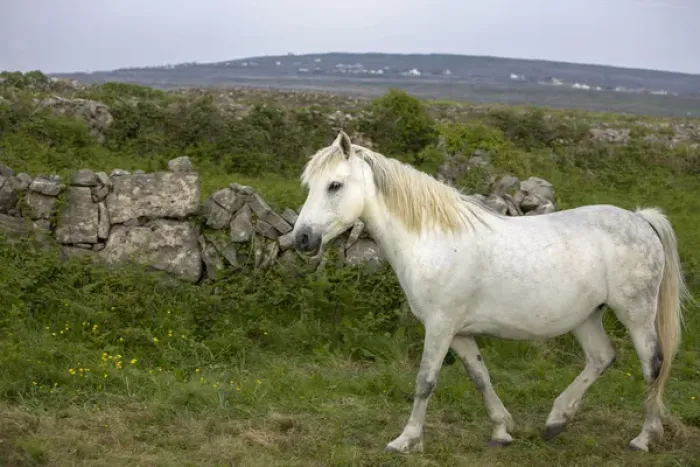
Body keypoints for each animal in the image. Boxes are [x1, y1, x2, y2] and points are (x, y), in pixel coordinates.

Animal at [290, 130, 690, 454]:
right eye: (311, 185)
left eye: (335, 185)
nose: (302, 239)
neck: (433, 240)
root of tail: (640, 218)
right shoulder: (460, 333)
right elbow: (480, 377)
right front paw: (501, 431)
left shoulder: (440, 328)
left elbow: (425, 382)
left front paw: (405, 440)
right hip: (587, 317)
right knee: (601, 358)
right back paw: (556, 421)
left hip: (636, 314)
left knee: (653, 365)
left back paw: (643, 438)